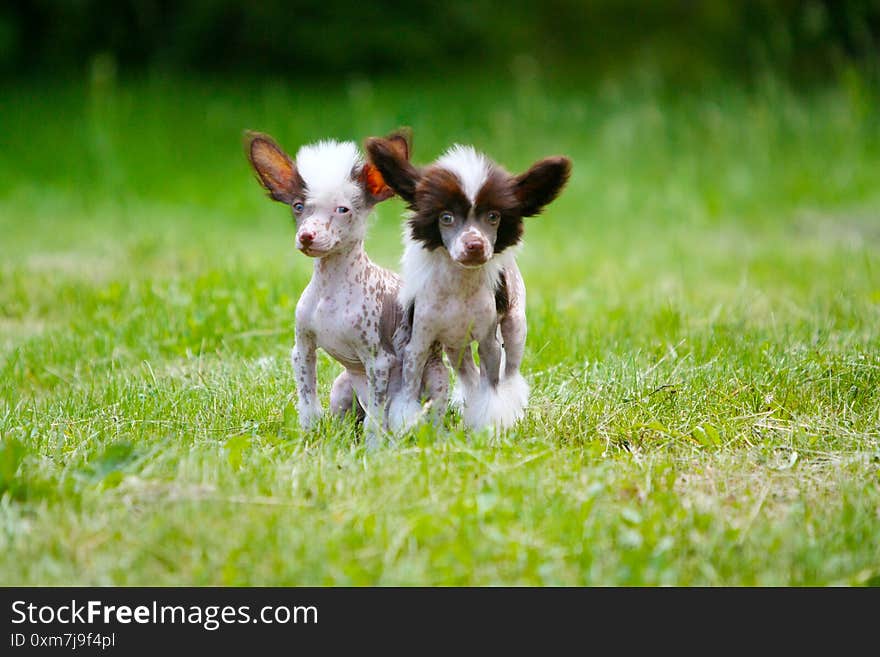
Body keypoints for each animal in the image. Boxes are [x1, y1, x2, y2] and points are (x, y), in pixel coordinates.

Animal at [246, 130, 446, 444]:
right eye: (298, 207)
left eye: (343, 210)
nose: (306, 236)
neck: (330, 291)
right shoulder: (302, 350)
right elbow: (307, 401)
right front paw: (308, 436)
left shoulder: (379, 361)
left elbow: (376, 417)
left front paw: (374, 448)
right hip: (342, 388)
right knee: (347, 419)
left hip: (436, 378)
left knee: (428, 417)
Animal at [364, 136, 572, 434]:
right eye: (446, 217)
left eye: (493, 216)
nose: (475, 244)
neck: (459, 287)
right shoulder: (419, 343)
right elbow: (409, 390)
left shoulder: (488, 342)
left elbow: (492, 389)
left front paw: (489, 423)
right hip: (455, 348)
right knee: (470, 377)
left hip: (515, 327)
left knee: (509, 373)